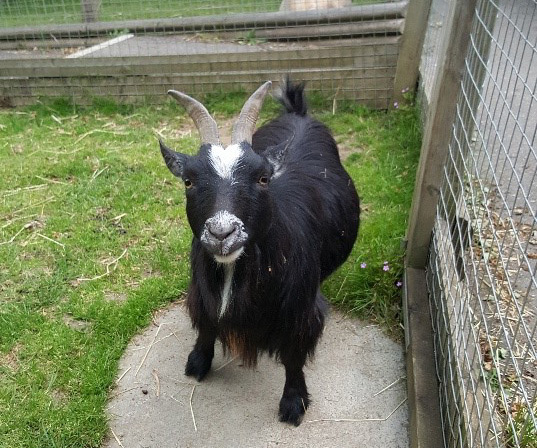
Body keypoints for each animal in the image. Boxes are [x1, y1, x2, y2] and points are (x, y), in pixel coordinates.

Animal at [159, 79, 360, 426]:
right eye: (188, 180)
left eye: (263, 178)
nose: (222, 233)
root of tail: (298, 113)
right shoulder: (202, 291)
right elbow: (207, 323)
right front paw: (197, 363)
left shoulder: (299, 310)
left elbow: (294, 355)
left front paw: (293, 404)